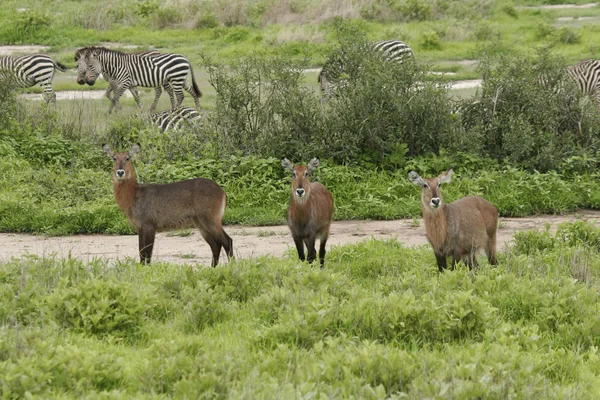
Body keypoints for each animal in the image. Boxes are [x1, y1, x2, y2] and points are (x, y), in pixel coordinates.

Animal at [74, 47, 202, 113]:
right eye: (78, 66)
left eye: (90, 66)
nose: (83, 82)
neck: (116, 66)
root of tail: (185, 58)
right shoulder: (130, 84)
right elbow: (136, 97)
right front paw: (141, 111)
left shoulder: (123, 82)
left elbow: (114, 96)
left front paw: (111, 112)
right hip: (182, 79)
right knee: (192, 92)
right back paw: (198, 109)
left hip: (176, 79)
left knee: (179, 95)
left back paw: (174, 110)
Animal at [101, 142, 232, 268]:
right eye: (114, 158)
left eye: (127, 158)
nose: (120, 172)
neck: (134, 194)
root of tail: (222, 191)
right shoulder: (140, 228)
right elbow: (141, 252)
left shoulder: (149, 226)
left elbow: (147, 252)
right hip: (201, 223)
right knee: (215, 245)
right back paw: (212, 268)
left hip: (211, 220)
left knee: (227, 241)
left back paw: (232, 266)